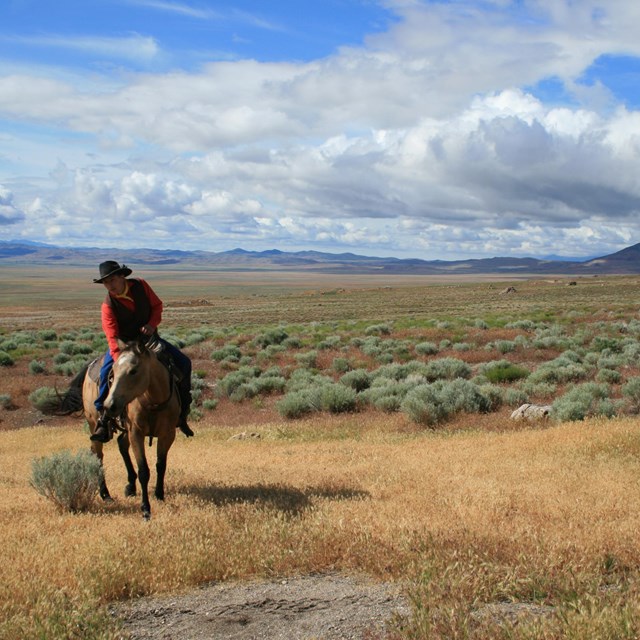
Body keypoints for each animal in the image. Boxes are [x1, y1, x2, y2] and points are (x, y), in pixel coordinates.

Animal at [45, 338, 180, 516]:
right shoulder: (136, 433)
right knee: (97, 455)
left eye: (133, 371)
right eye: (113, 372)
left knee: (121, 444)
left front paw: (159, 495)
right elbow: (144, 471)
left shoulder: (168, 434)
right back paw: (106, 494)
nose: (109, 406)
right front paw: (145, 508)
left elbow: (161, 465)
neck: (153, 401)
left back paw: (130, 486)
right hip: (94, 425)